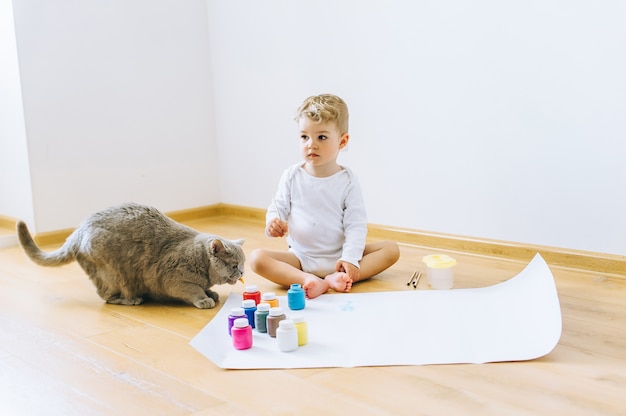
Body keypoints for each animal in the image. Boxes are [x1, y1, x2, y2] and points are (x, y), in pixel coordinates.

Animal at [15, 203, 245, 308]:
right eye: (234, 265)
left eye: (243, 264)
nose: (242, 272)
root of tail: (78, 231)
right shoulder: (172, 279)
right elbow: (193, 289)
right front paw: (204, 299)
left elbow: (203, 287)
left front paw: (211, 293)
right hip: (114, 272)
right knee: (106, 296)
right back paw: (131, 299)